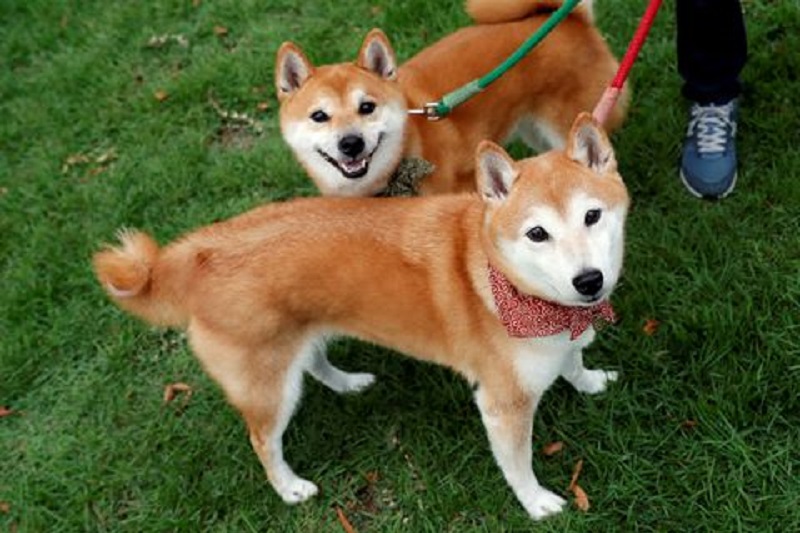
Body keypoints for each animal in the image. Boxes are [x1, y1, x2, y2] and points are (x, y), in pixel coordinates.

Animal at [94, 113, 628, 520]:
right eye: (537, 234)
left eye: (592, 216)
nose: (589, 281)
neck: (510, 286)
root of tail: (197, 252)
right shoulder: (503, 406)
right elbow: (518, 464)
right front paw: (536, 503)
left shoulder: (566, 335)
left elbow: (574, 362)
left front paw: (590, 381)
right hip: (268, 387)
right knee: (263, 440)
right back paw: (289, 487)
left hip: (299, 336)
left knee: (311, 361)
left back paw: (348, 383)